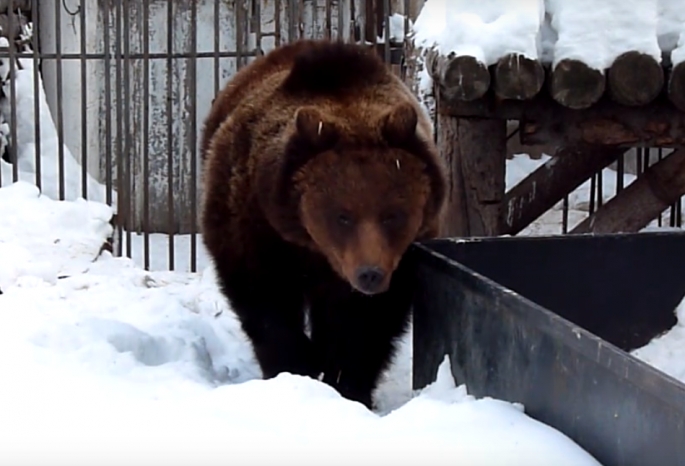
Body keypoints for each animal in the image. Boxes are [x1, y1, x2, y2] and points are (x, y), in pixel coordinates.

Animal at [199, 41, 444, 412]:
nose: (369, 274)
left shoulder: (401, 258)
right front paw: (294, 367)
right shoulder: (252, 227)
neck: (313, 246)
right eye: (342, 215)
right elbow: (264, 300)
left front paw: (348, 384)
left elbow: (366, 326)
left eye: (392, 214)